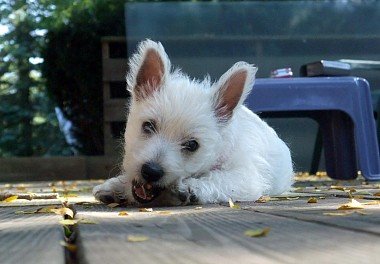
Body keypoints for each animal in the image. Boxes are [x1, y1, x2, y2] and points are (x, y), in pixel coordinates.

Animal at [93, 39, 294, 206]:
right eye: (148, 126)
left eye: (192, 145)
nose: (151, 171)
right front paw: (114, 186)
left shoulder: (247, 176)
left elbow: (221, 179)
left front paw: (191, 187)